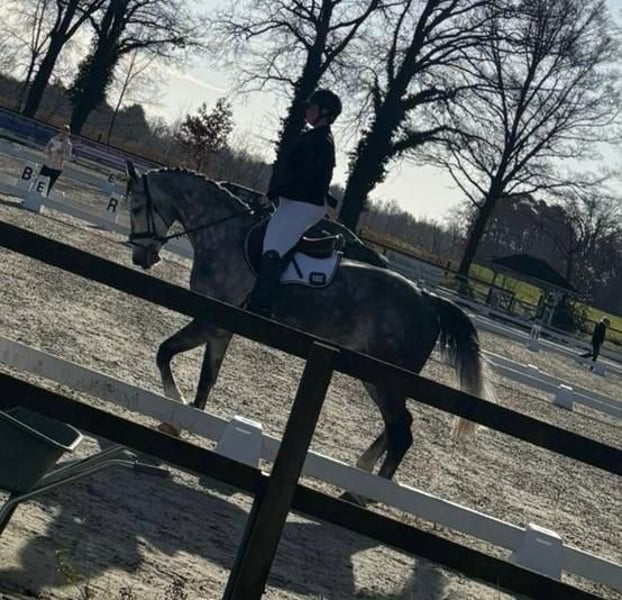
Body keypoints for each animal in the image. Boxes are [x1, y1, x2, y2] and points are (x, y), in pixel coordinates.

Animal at [124, 161, 495, 499]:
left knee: (401, 431)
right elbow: (206, 380)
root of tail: (427, 298)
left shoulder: (209, 321)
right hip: (378, 377)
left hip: (384, 378)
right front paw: (184, 422)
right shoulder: (221, 330)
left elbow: (165, 352)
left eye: (137, 207)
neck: (224, 236)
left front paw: (174, 408)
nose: (141, 257)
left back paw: (362, 495)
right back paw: (360, 476)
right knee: (395, 427)